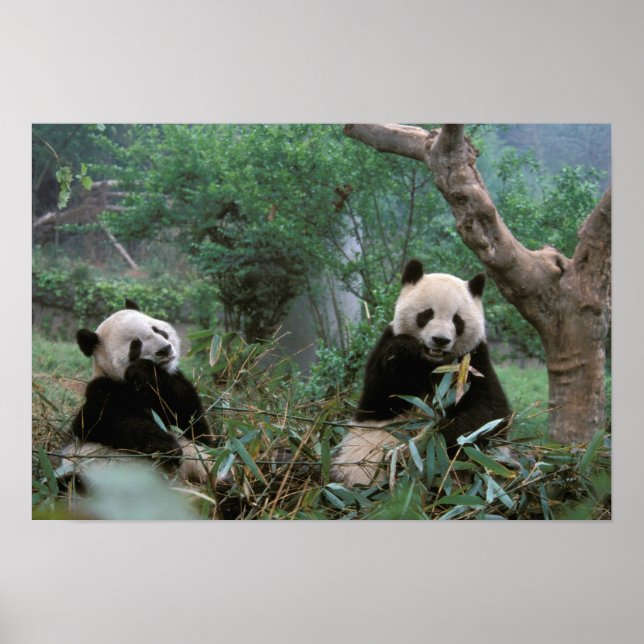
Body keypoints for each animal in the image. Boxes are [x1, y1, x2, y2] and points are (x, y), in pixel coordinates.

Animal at [63, 300, 214, 485]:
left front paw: (145, 370)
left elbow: (195, 424)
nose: (165, 349)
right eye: (136, 344)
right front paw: (168, 448)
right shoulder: (102, 392)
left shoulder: (172, 384)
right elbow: (111, 421)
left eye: (157, 329)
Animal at [331, 258, 511, 487]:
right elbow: (379, 399)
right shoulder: (386, 346)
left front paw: (429, 437)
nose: (440, 340)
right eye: (426, 314)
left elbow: (489, 414)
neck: (432, 363)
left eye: (457, 320)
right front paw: (403, 349)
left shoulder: (473, 362)